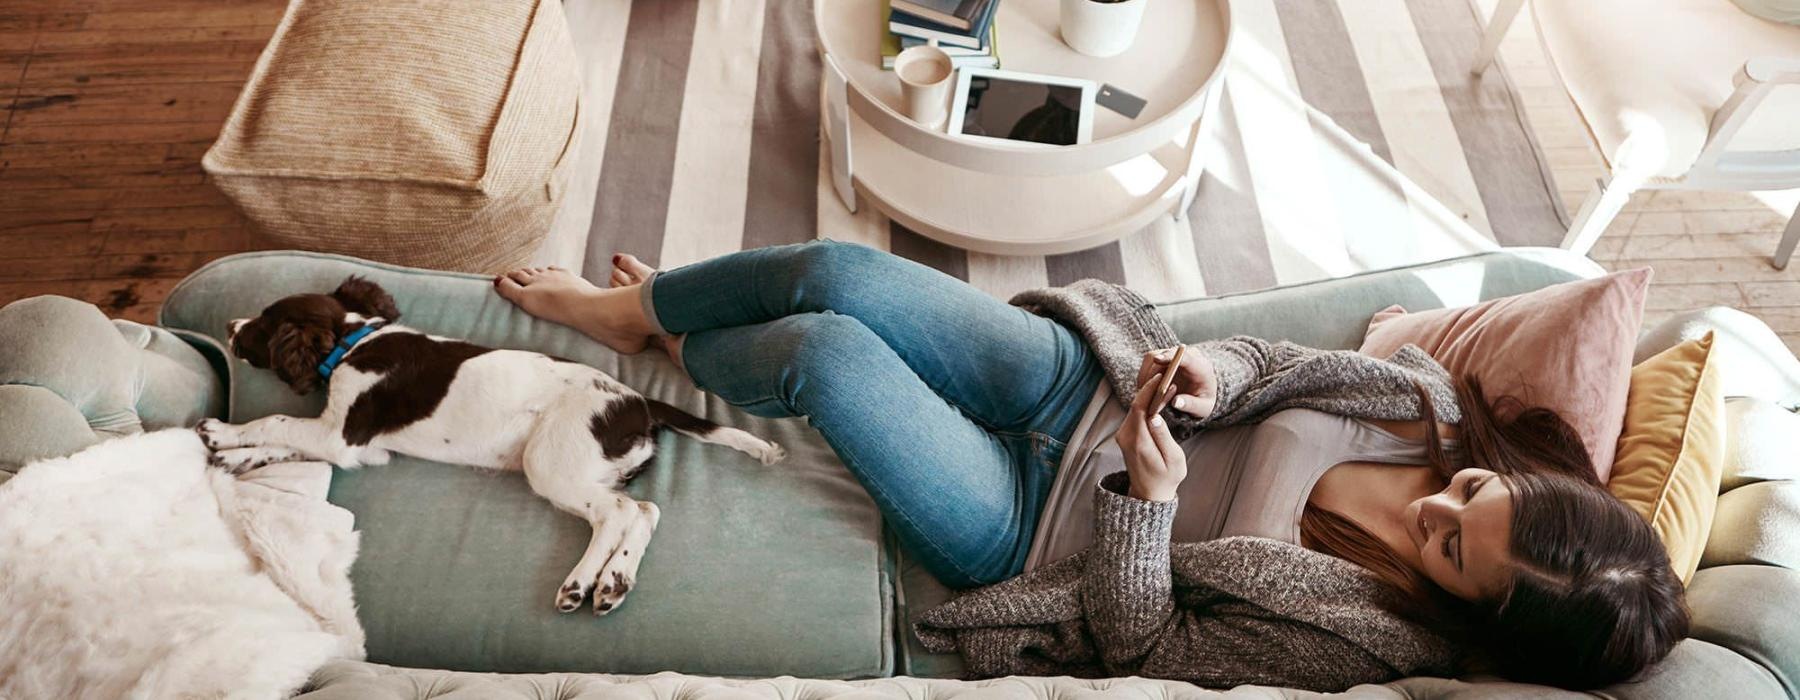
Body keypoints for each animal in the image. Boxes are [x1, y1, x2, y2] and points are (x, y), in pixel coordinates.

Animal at [197, 275, 788, 615]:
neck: (353, 340)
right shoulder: (356, 445)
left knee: (618, 513)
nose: (228, 323)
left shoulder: (343, 435)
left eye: (262, 326)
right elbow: (285, 443)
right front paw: (236, 455)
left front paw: (225, 433)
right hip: (593, 468)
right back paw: (614, 582)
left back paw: (582, 583)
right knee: (644, 510)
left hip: (550, 462)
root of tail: (638, 401)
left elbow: (279, 420)